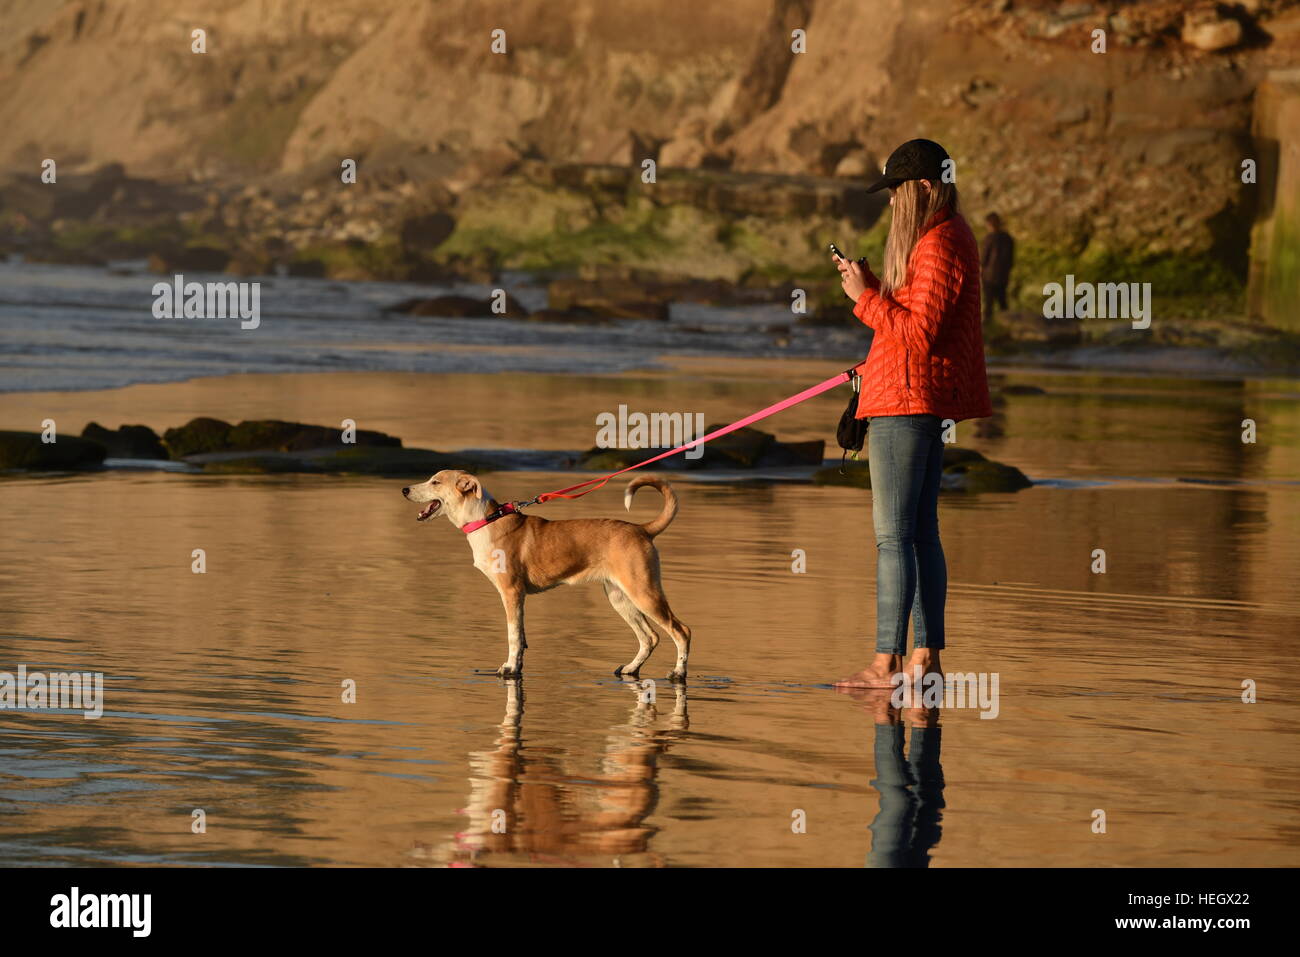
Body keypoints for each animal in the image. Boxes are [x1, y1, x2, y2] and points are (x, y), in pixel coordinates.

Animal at [400, 470, 691, 681]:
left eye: (435, 482)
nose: (405, 490)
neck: (486, 521)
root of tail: (643, 529)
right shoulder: (518, 598)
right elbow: (522, 638)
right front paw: (516, 667)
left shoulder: (511, 592)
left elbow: (513, 635)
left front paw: (508, 668)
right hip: (619, 596)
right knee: (649, 637)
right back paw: (631, 669)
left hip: (643, 591)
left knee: (681, 630)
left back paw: (678, 673)